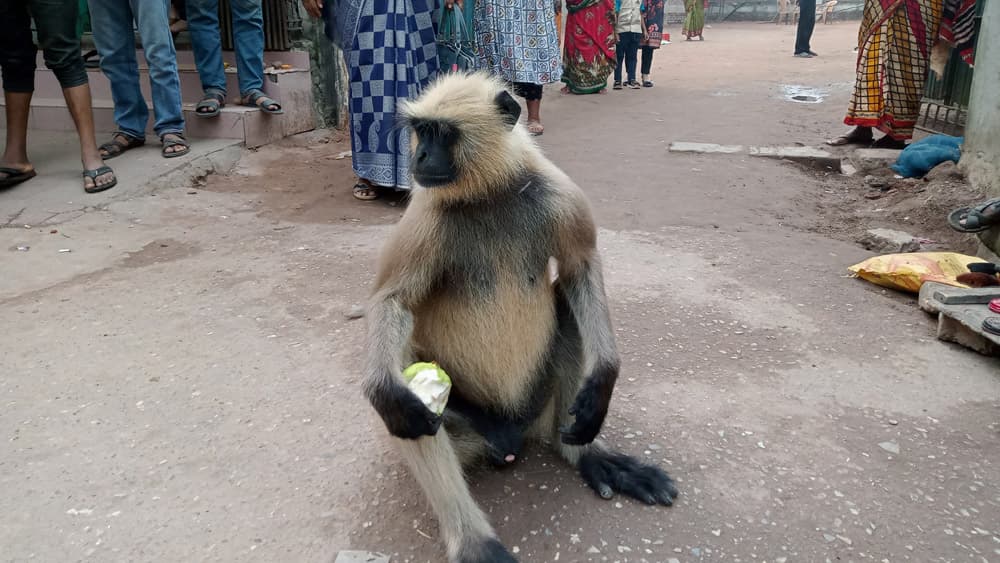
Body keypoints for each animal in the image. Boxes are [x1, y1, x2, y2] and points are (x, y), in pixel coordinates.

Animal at [362, 72, 680, 560]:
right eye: (421, 131)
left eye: (442, 134)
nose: (418, 157)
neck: (489, 194)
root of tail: (512, 434)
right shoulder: (425, 215)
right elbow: (392, 302)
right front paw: (382, 388)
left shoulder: (558, 194)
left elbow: (579, 266)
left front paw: (605, 378)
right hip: (466, 423)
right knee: (408, 396)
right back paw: (475, 542)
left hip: (541, 405)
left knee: (566, 303)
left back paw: (586, 455)